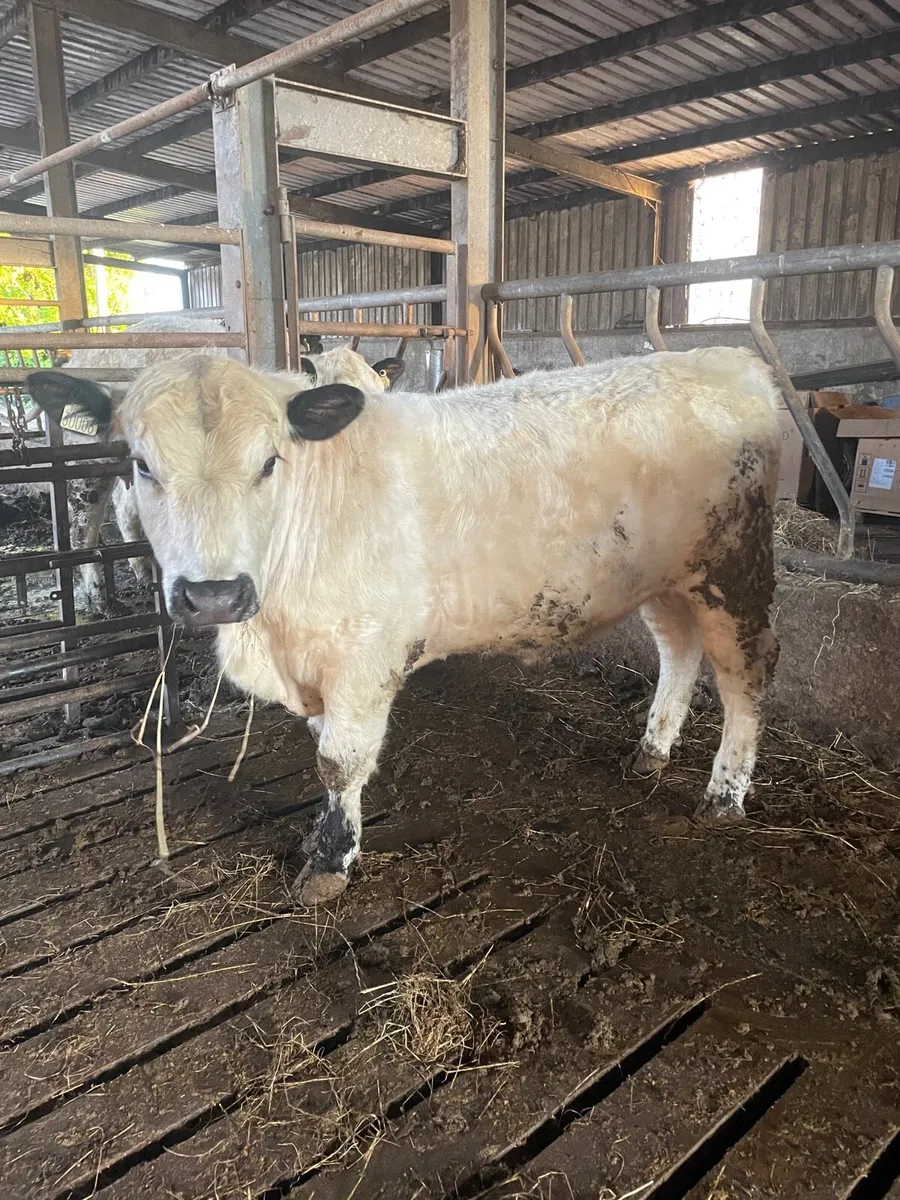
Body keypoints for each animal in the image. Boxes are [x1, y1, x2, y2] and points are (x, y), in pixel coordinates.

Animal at [24, 316, 402, 613]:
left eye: (380, 387)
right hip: (86, 459)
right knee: (83, 524)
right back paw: (96, 596)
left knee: (125, 507)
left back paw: (143, 571)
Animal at [28, 346, 782, 906]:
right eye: (141, 464)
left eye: (269, 462)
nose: (213, 594)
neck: (273, 628)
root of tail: (727, 358)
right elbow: (325, 749)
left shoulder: (363, 657)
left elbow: (339, 760)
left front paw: (329, 864)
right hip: (667, 577)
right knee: (679, 651)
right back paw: (653, 748)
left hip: (734, 571)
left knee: (745, 674)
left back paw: (725, 792)